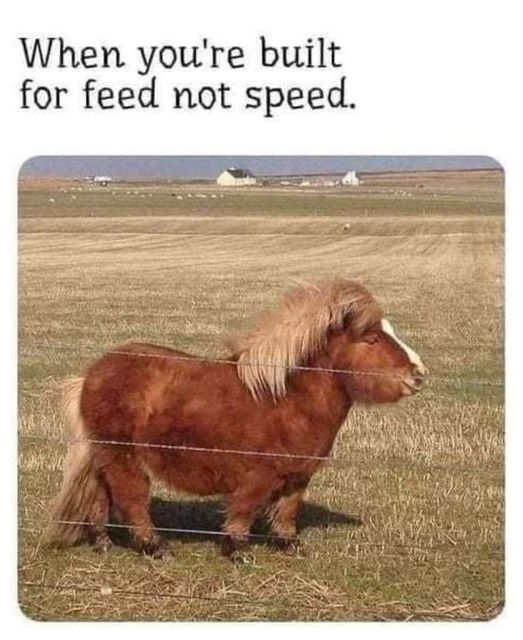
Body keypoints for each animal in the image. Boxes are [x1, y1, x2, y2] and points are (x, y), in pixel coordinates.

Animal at [44, 279, 428, 560]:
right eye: (372, 339)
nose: (419, 374)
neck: (285, 396)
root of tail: (92, 373)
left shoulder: (298, 475)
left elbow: (288, 511)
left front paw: (289, 546)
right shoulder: (258, 475)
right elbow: (244, 511)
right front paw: (237, 551)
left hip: (103, 455)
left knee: (99, 497)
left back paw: (103, 543)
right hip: (121, 455)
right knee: (131, 498)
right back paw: (154, 547)